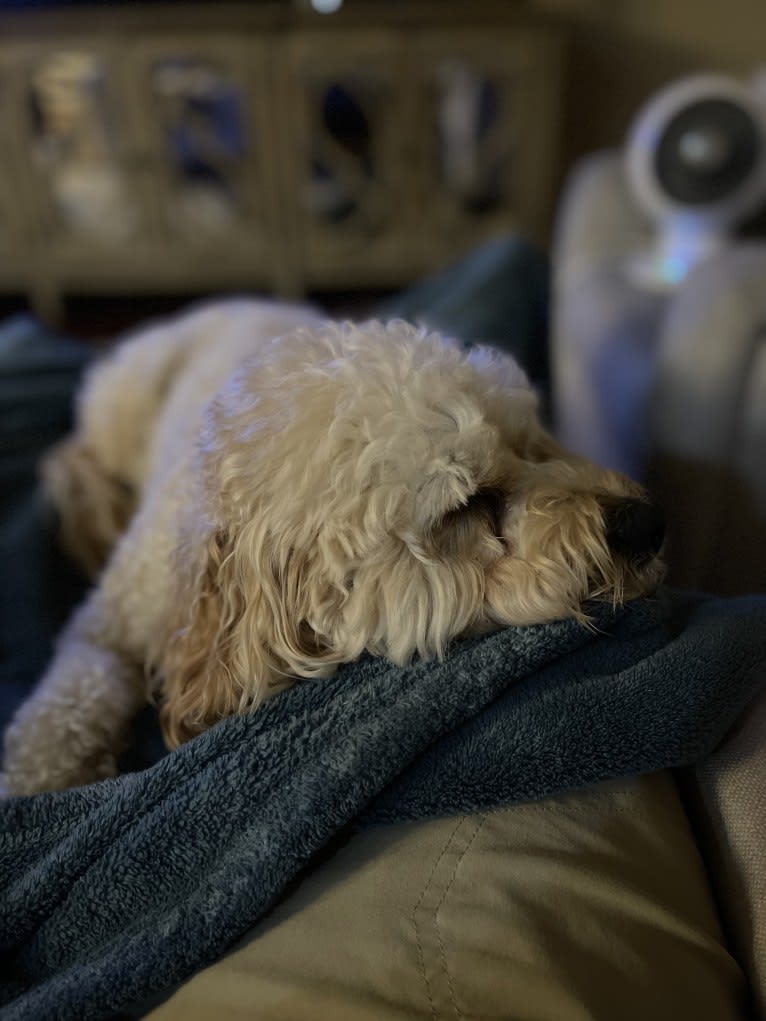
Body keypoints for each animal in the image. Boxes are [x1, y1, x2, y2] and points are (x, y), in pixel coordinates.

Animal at [1, 298, 665, 792]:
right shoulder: (102, 624)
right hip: (123, 400)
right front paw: (38, 785)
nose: (648, 524)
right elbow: (61, 708)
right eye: (465, 508)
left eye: (532, 445)